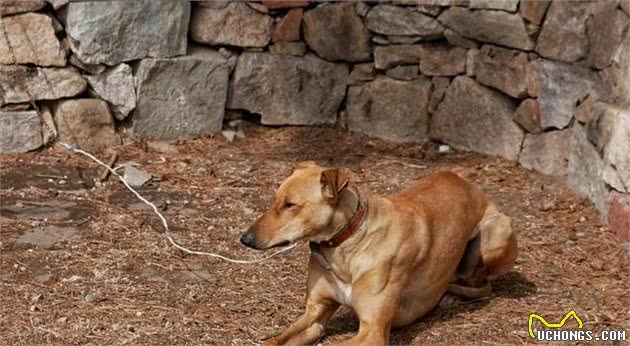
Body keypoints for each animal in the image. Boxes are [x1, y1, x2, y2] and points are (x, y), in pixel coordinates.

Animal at [241, 163, 520, 346]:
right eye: (274, 200)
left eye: (290, 205)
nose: (245, 239)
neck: (346, 247)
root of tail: (467, 183)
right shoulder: (315, 314)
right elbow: (275, 340)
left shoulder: (372, 331)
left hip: (496, 230)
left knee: (480, 282)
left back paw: (451, 296)